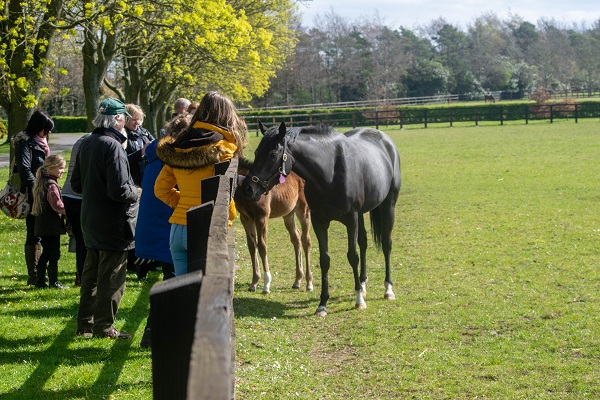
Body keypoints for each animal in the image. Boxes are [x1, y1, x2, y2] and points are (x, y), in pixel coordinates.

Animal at [241, 123, 400, 318]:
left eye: (272, 154)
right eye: (257, 152)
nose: (248, 188)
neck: (330, 173)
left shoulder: (351, 220)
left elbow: (352, 256)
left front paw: (358, 301)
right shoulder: (319, 222)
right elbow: (324, 259)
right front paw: (323, 304)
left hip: (388, 205)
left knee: (386, 244)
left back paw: (388, 289)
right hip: (362, 214)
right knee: (363, 242)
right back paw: (362, 285)